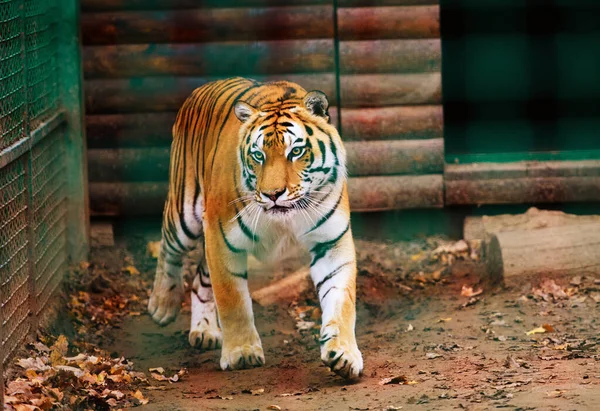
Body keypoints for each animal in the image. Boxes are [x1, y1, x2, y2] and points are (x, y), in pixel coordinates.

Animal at [148, 76, 364, 380]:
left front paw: (343, 353)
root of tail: (200, 89)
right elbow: (232, 300)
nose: (273, 194)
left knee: (200, 279)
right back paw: (162, 306)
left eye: (296, 151)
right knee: (168, 247)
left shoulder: (331, 242)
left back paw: (204, 330)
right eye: (258, 155)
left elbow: (342, 300)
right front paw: (242, 353)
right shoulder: (221, 237)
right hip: (184, 213)